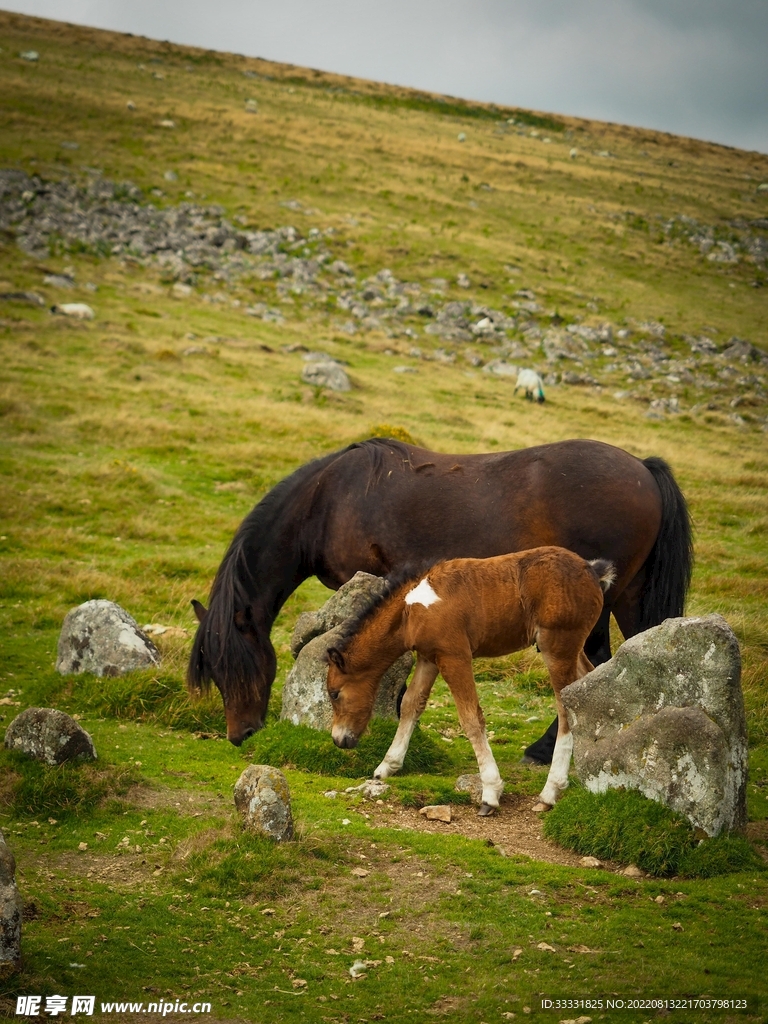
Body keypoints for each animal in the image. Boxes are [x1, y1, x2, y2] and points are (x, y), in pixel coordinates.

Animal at [188, 437, 692, 753]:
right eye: (214, 671)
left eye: (237, 666)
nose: (240, 734)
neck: (326, 500)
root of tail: (643, 468)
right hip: (628, 596)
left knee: (591, 662)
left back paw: (546, 748)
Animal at [325, 547, 617, 815]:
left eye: (334, 693)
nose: (339, 740)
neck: (410, 609)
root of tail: (592, 571)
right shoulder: (429, 657)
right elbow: (410, 705)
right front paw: (387, 766)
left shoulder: (454, 656)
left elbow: (471, 717)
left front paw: (490, 792)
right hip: (572, 650)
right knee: (588, 684)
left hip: (557, 647)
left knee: (565, 706)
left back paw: (550, 791)